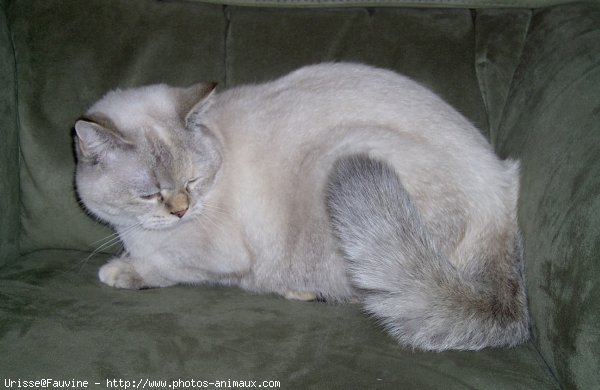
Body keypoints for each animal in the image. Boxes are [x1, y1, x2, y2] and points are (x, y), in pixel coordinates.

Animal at [75, 61, 528, 350]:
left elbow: (163, 265)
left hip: (345, 166)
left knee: (371, 293)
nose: (181, 210)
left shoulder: (215, 256)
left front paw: (119, 270)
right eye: (150, 193)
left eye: (192, 181)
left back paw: (299, 290)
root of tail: (502, 197)